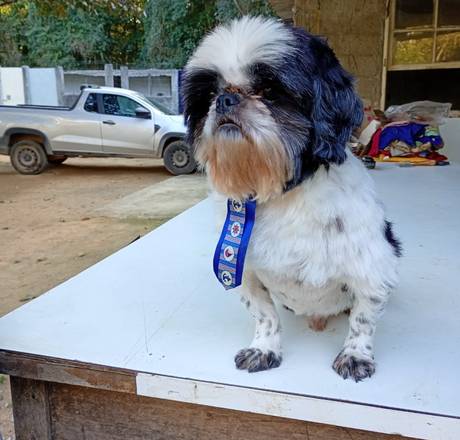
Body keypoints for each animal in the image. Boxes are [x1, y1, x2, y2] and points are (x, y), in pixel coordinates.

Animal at [182, 16, 401, 382]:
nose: (225, 99)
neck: (283, 195)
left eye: (270, 91)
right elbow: (264, 314)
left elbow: (363, 318)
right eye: (209, 94)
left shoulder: (369, 267)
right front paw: (264, 349)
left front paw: (355, 355)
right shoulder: (247, 272)